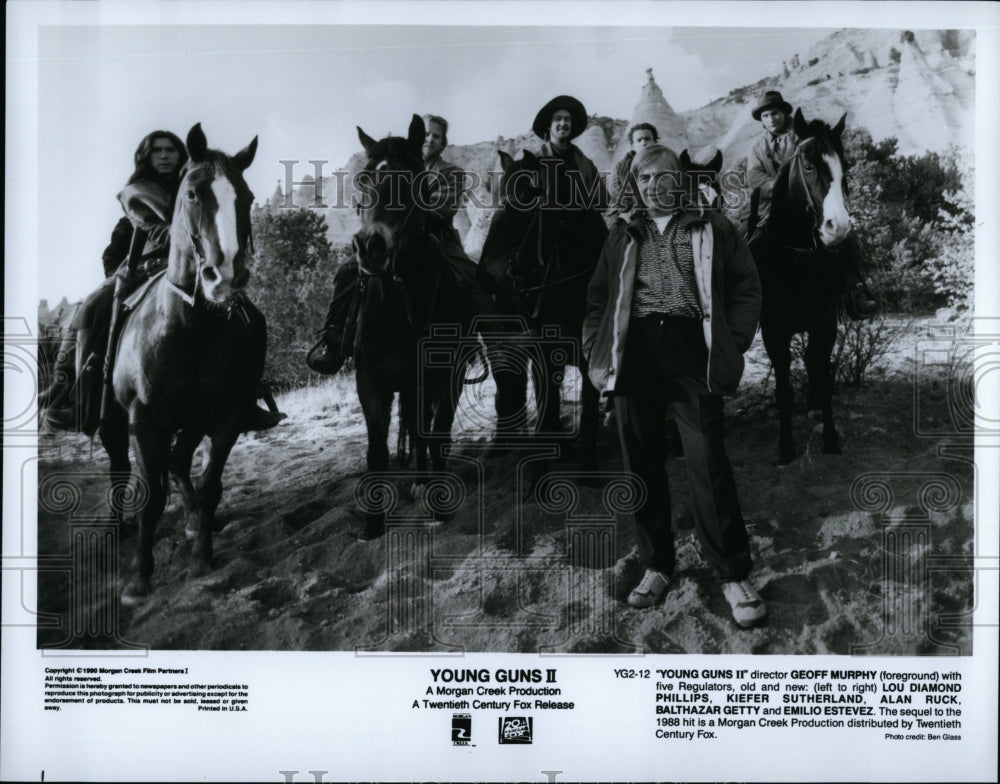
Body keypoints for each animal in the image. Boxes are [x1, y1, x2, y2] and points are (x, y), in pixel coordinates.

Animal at [98, 122, 258, 604]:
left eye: (246, 198)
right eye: (191, 194)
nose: (225, 278)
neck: (189, 328)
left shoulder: (224, 415)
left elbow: (208, 487)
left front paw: (202, 555)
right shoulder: (145, 421)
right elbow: (150, 498)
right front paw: (138, 578)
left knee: (179, 464)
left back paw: (190, 525)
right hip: (121, 427)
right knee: (128, 471)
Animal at [354, 116, 474, 544]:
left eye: (410, 180)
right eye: (363, 179)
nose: (369, 248)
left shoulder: (445, 376)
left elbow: (436, 435)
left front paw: (439, 505)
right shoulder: (370, 382)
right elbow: (376, 451)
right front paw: (371, 524)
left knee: (426, 433)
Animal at [478, 149, 608, 468]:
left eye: (526, 195)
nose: (486, 277)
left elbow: (587, 405)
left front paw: (588, 459)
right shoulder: (544, 348)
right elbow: (547, 400)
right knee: (507, 385)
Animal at [752, 110, 852, 466]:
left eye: (844, 166)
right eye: (808, 166)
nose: (838, 228)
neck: (793, 256)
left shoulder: (824, 322)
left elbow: (822, 375)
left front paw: (831, 438)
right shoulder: (774, 330)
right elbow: (783, 388)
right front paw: (785, 447)